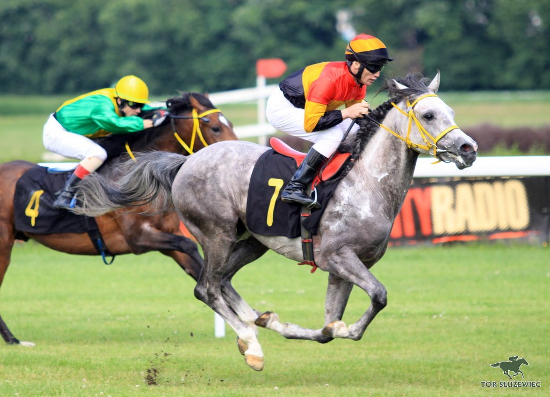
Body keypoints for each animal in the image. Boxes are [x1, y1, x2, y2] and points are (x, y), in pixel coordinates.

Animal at [0, 91, 238, 344]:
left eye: (230, 124)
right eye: (215, 127)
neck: (139, 176)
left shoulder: (168, 238)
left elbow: (194, 262)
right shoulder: (138, 239)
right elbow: (189, 245)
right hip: (3, 244)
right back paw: (12, 339)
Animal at [73, 72, 478, 372]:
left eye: (450, 110)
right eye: (428, 115)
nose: (468, 149)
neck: (366, 182)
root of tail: (186, 161)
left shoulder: (343, 268)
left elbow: (329, 329)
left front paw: (294, 324)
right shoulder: (338, 257)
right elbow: (378, 297)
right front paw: (338, 327)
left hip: (253, 240)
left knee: (224, 282)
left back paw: (256, 322)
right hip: (216, 233)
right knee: (206, 288)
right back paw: (252, 347)